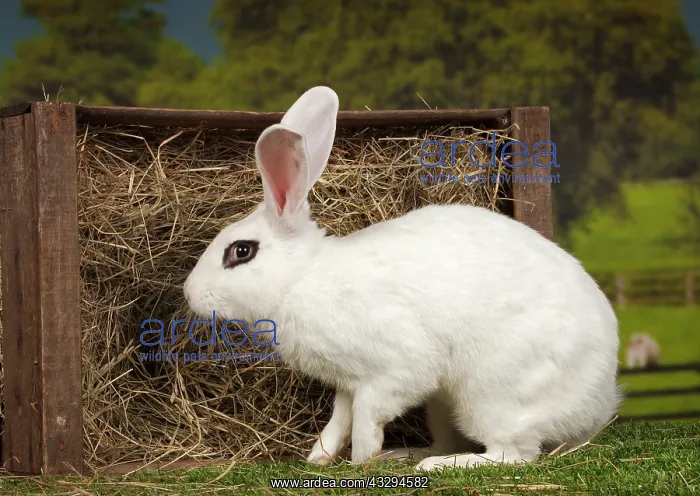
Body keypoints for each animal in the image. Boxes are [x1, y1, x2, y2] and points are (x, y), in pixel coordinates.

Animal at [183, 86, 622, 471]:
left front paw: (361, 459)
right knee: (453, 439)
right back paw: (408, 454)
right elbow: (340, 418)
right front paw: (319, 457)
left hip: (491, 396)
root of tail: (600, 404)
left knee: (512, 454)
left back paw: (439, 466)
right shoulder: (348, 381)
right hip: (443, 406)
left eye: (241, 252)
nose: (189, 293)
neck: (301, 278)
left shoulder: (394, 370)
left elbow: (367, 417)